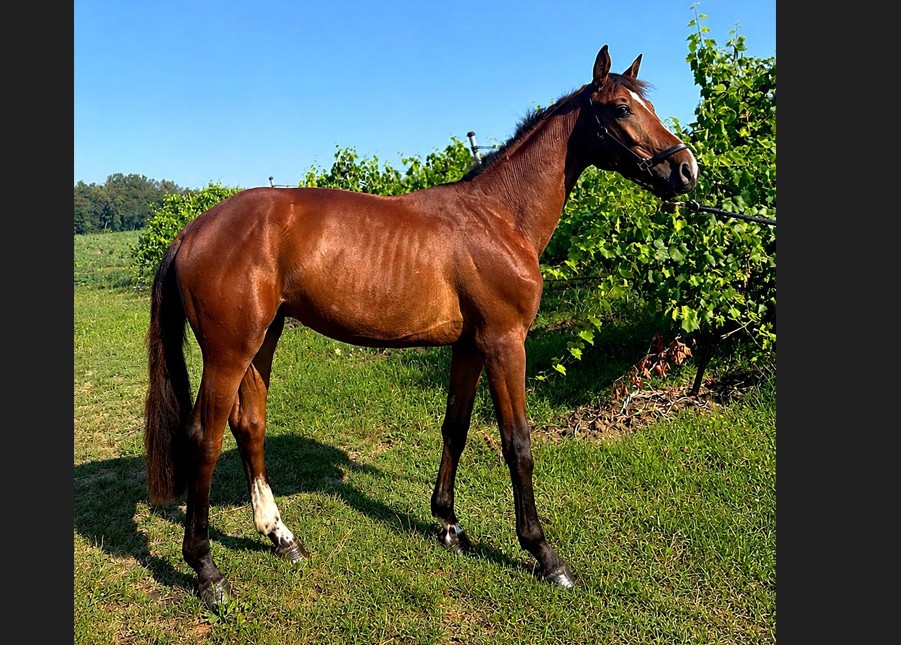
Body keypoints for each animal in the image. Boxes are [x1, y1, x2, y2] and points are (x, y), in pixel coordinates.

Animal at [144, 45, 698, 612]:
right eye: (621, 109)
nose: (685, 169)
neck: (499, 217)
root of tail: (192, 230)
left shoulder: (470, 346)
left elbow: (456, 427)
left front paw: (449, 525)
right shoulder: (505, 343)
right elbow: (517, 444)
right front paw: (544, 556)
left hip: (263, 341)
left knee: (249, 425)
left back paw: (281, 538)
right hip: (229, 352)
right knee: (204, 439)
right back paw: (207, 571)